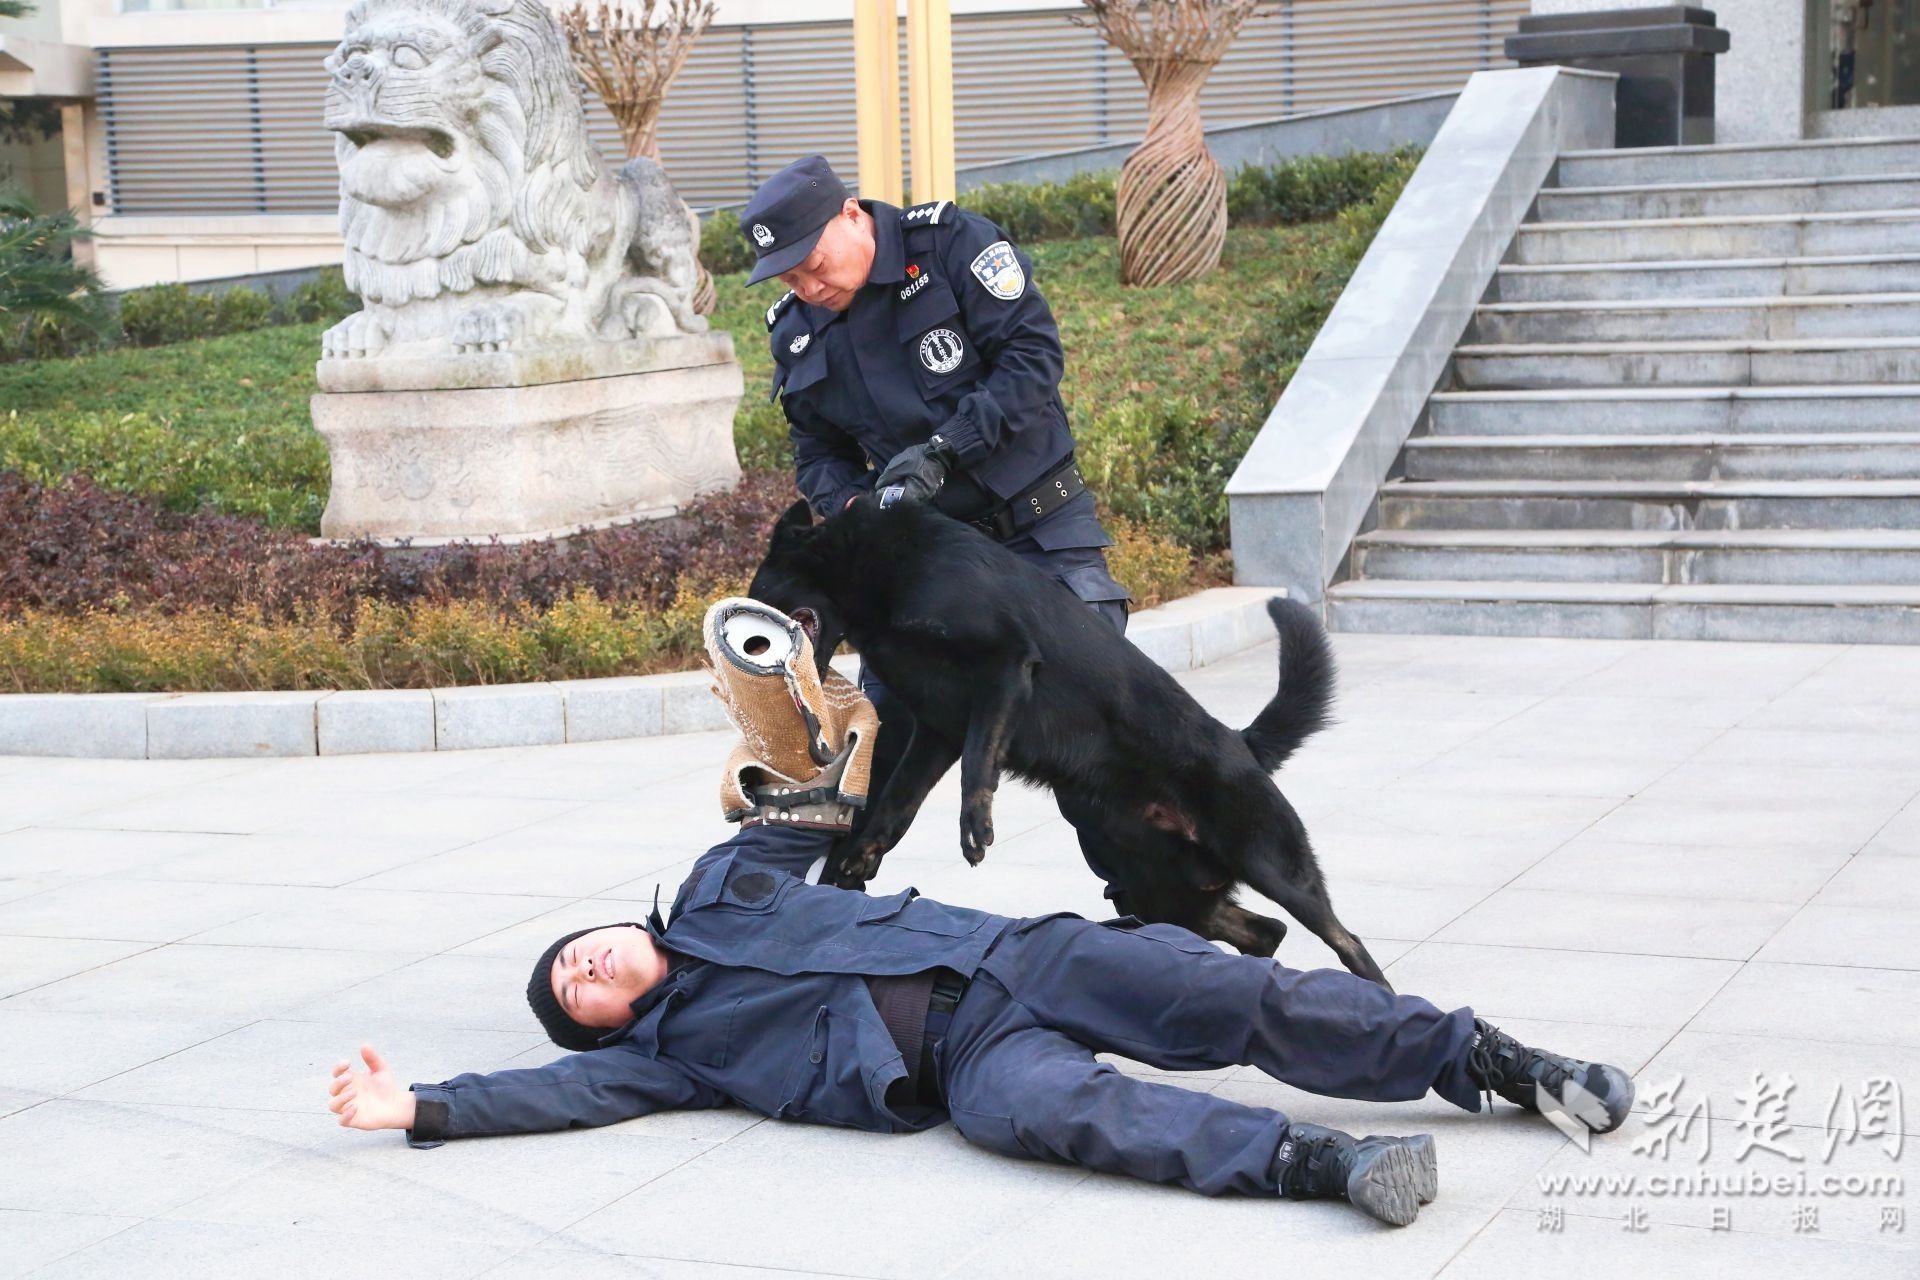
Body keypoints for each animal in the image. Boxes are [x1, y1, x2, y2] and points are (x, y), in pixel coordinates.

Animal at [741, 495, 1390, 990]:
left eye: (759, 598)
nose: (746, 648)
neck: (877, 569)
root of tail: (1241, 743)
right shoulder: (936, 730)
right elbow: (896, 801)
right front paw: (858, 857)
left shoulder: (1002, 666)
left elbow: (978, 761)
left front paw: (974, 825)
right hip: (1154, 885)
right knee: (1264, 932)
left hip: (1272, 867)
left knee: (1345, 939)